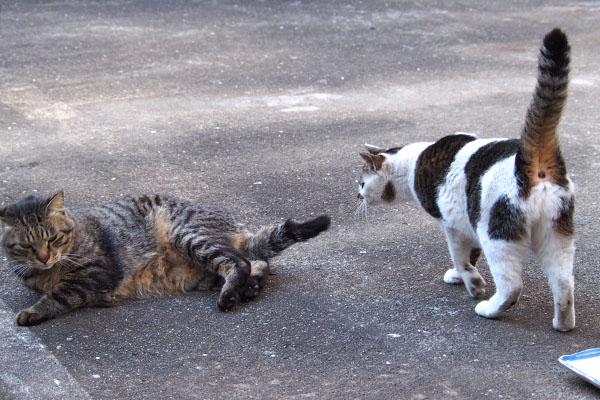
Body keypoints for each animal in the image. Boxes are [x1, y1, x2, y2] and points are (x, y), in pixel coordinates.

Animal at [0, 191, 330, 324]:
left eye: (52, 238)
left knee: (240, 261)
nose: (44, 257)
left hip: (190, 236)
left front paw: (31, 311)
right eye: (27, 246)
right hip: (195, 274)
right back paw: (249, 288)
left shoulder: (95, 274)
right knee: (255, 262)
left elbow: (58, 295)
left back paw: (231, 296)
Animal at [356, 28, 576, 332]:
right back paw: (563, 322)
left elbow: (460, 257)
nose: (356, 195)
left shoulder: (454, 225)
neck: (414, 162)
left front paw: (472, 283)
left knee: (512, 286)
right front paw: (460, 277)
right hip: (555, 236)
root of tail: (532, 162)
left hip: (497, 234)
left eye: (361, 183)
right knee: (564, 283)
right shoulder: (467, 225)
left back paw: (489, 308)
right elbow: (470, 256)